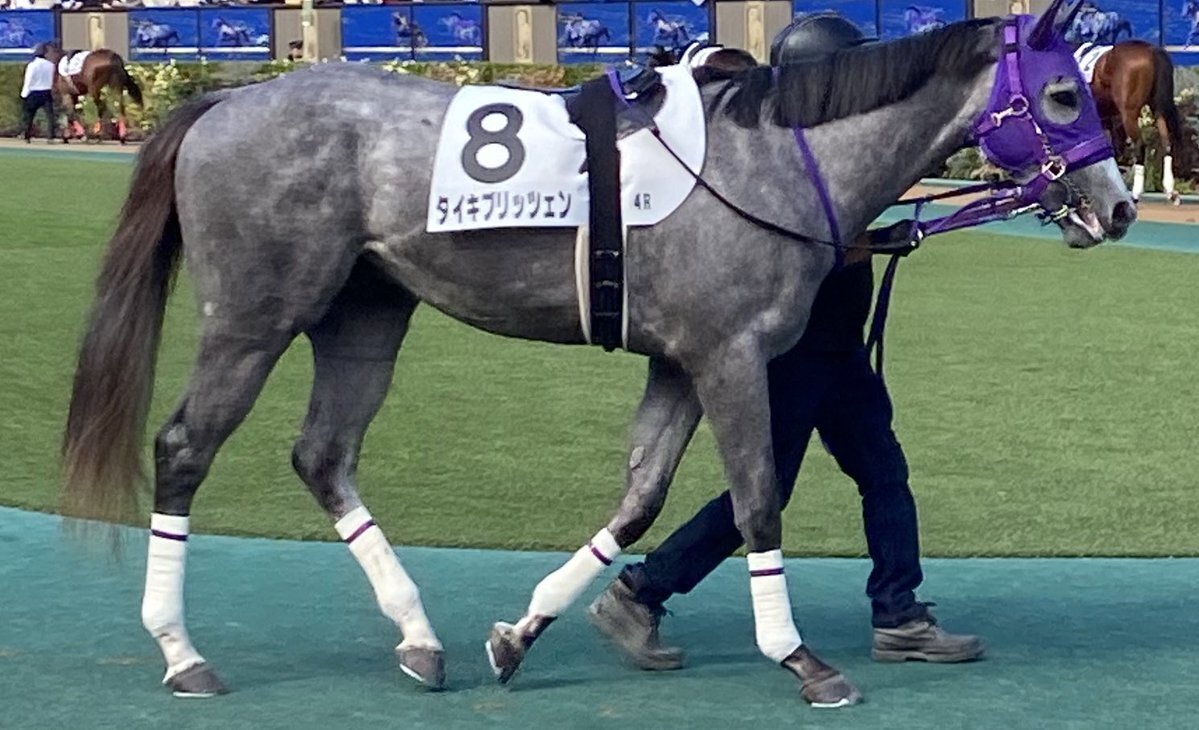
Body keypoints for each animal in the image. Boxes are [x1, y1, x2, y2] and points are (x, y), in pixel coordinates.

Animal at [61, 2, 1134, 708]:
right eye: (1061, 94)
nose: (1119, 208)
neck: (770, 160)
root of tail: (220, 106)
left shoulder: (678, 361)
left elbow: (642, 498)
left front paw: (521, 632)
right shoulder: (729, 356)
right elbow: (755, 499)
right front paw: (798, 658)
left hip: (364, 311)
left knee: (323, 454)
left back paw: (419, 637)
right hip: (254, 313)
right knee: (186, 448)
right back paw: (180, 652)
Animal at [1080, 40, 1185, 203]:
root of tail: (1151, 49)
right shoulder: (1105, 119)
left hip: (1129, 114)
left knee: (1140, 145)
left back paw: (1136, 193)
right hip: (1157, 108)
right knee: (1166, 142)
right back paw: (1170, 190)